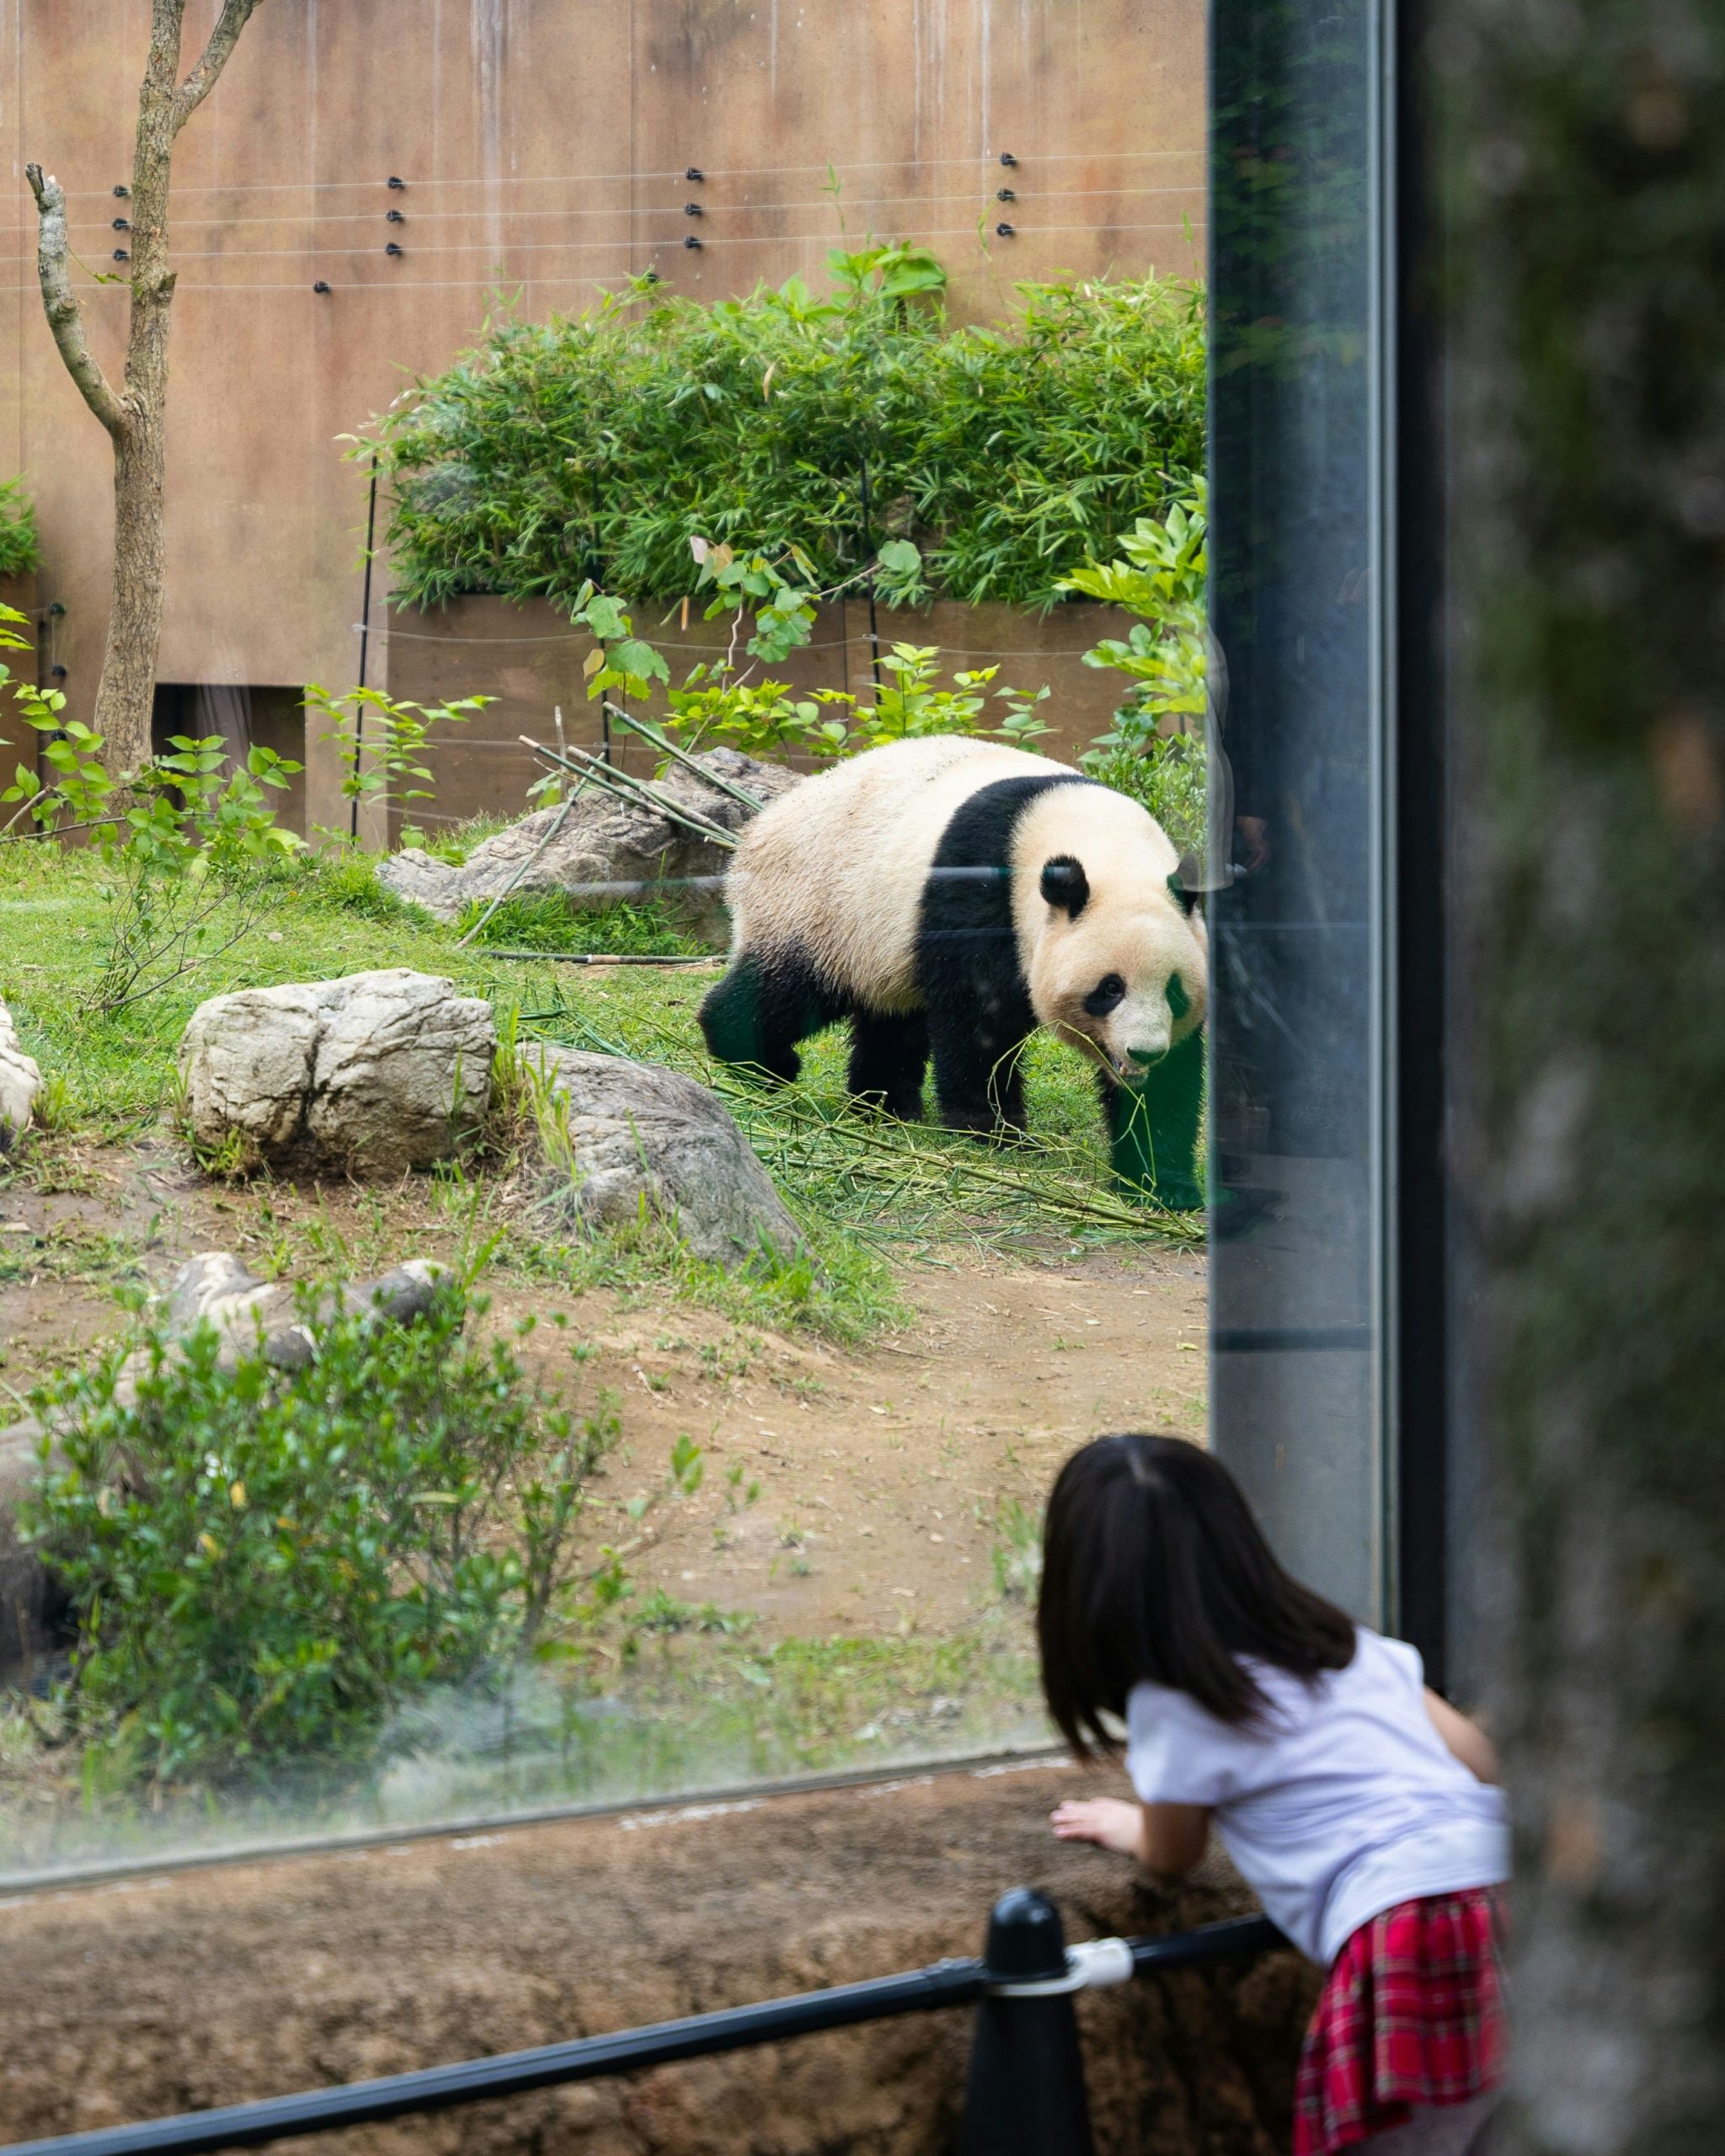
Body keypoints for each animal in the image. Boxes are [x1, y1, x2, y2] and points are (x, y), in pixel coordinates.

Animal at [694, 737, 1207, 1215]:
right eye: (1110, 988)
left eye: (1174, 991)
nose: (1143, 1052)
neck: (1098, 842)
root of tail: (760, 826)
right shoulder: (983, 884)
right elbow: (979, 1018)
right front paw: (995, 1131)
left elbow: (1174, 1077)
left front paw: (1161, 1182)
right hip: (817, 906)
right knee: (788, 991)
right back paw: (755, 1058)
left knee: (892, 1020)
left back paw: (883, 1104)